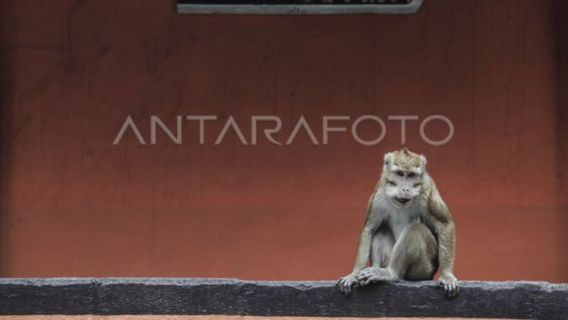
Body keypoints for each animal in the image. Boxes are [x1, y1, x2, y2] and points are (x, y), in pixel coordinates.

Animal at [338, 148, 458, 298]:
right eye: (400, 174)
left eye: (411, 175)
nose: (406, 188)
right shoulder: (380, 191)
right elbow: (370, 229)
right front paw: (353, 275)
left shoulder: (426, 188)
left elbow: (444, 223)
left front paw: (447, 275)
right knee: (381, 230)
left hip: (424, 269)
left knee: (415, 228)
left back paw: (391, 273)